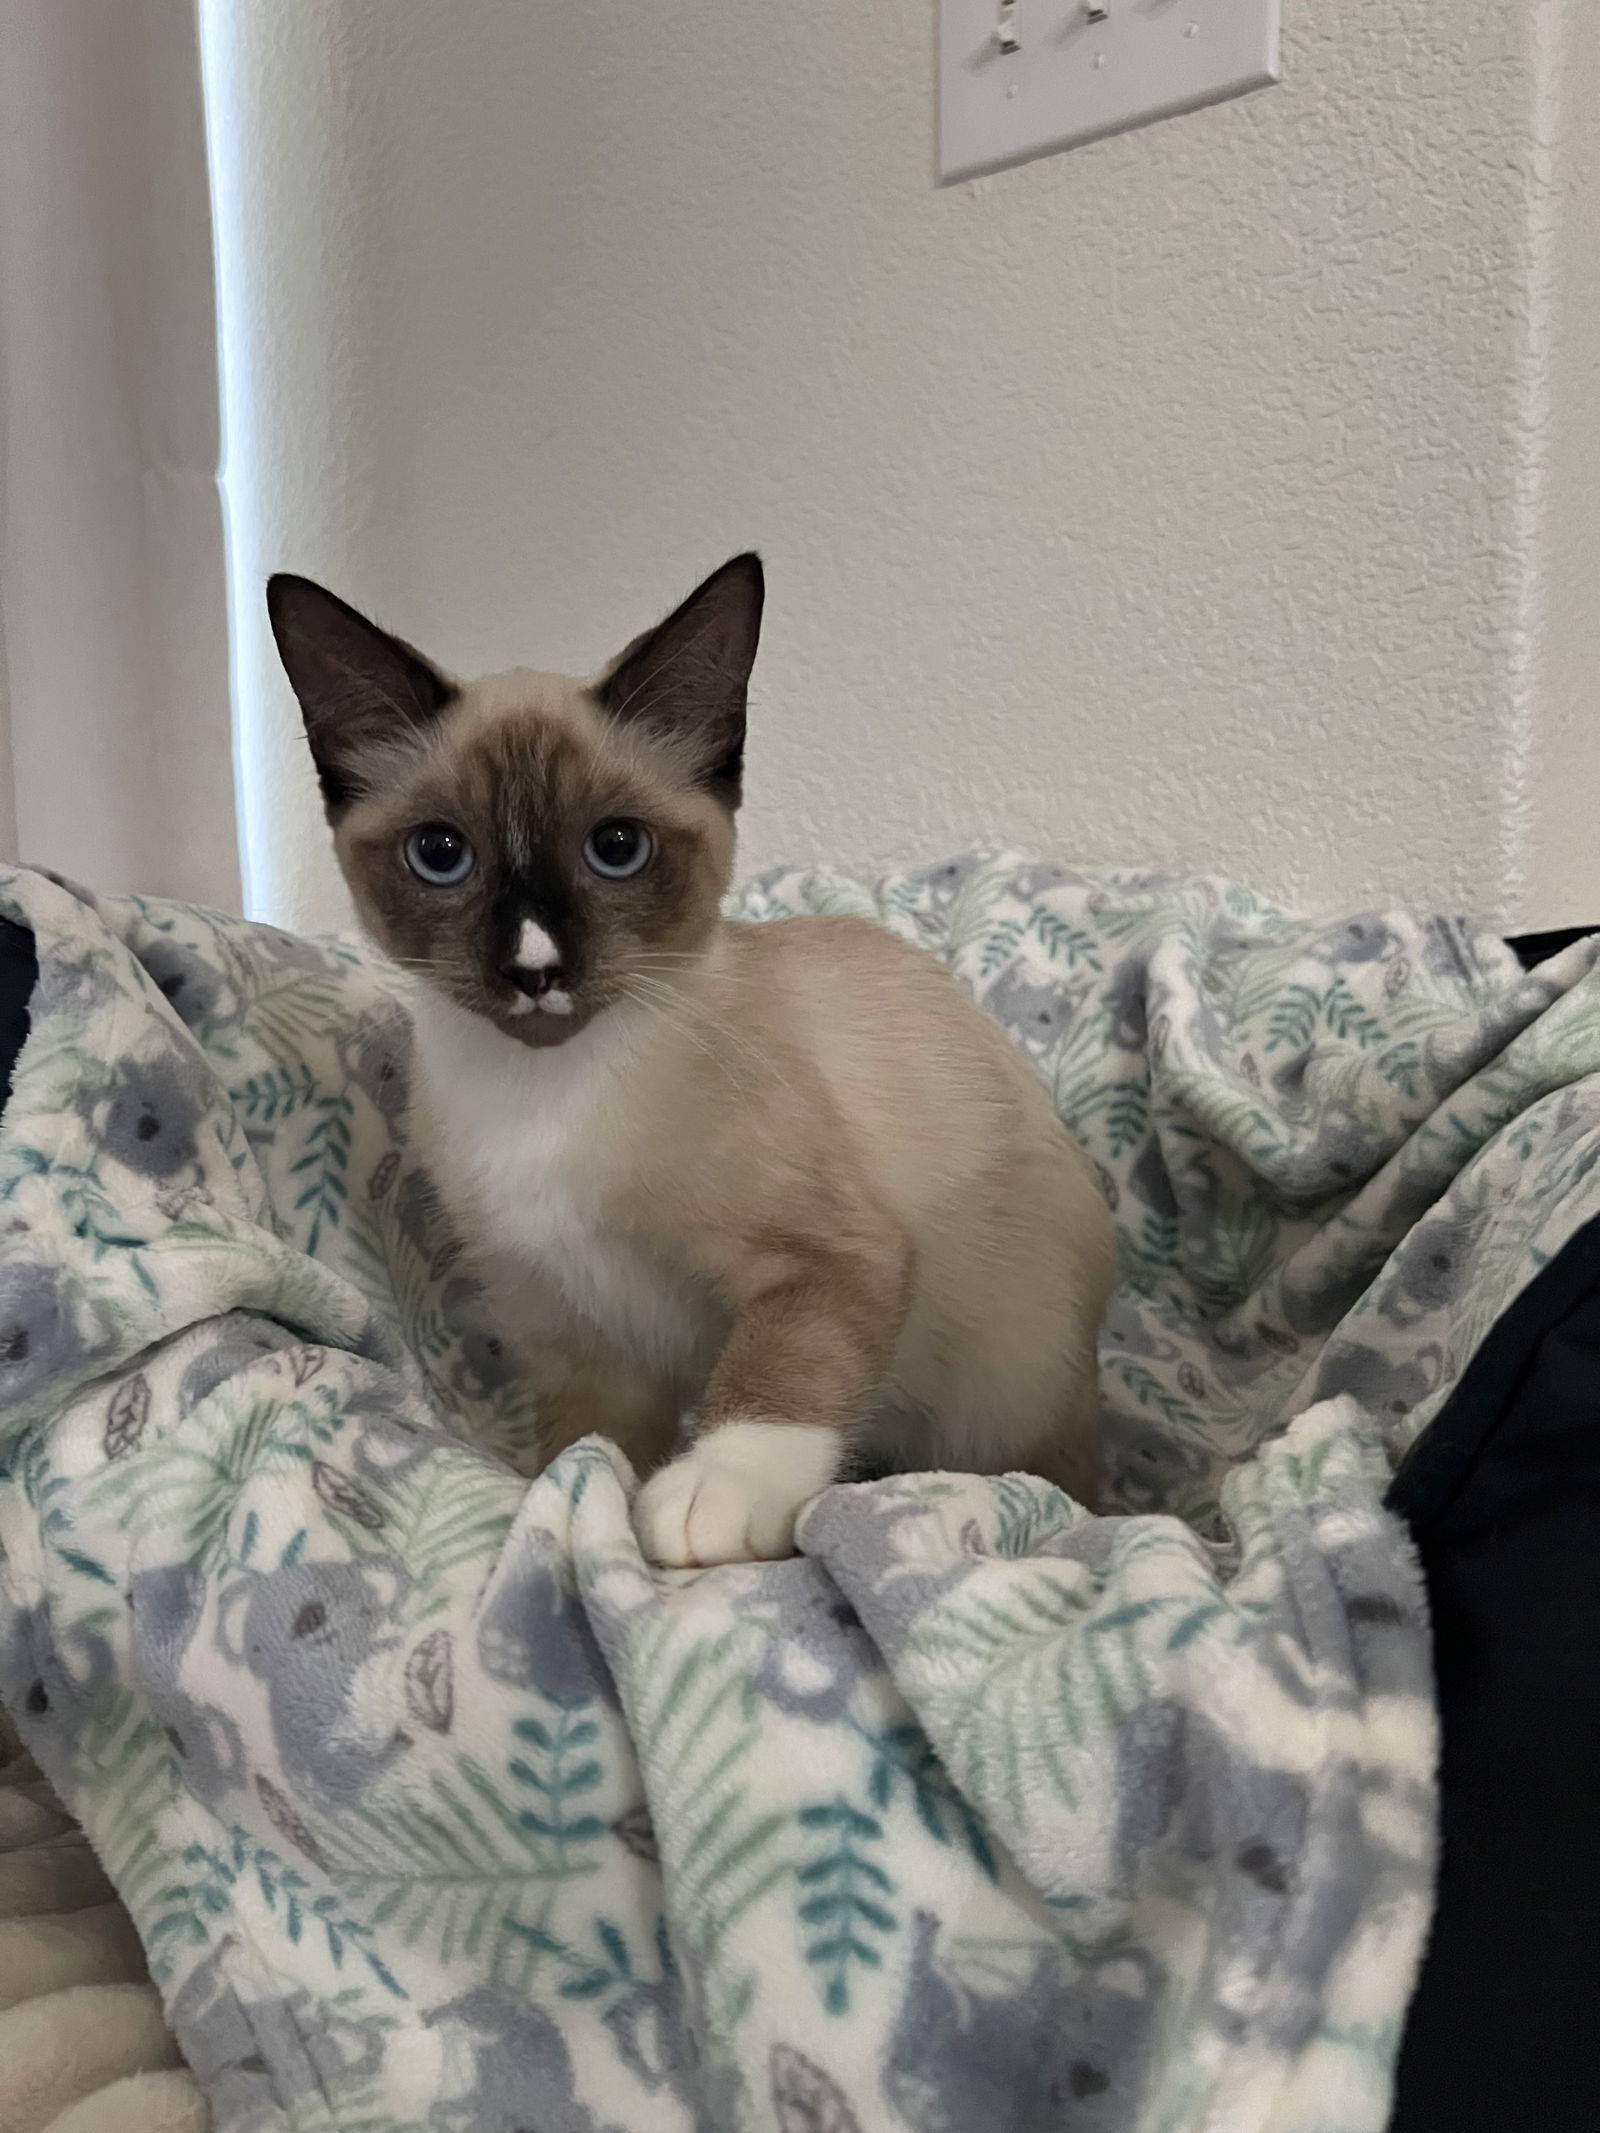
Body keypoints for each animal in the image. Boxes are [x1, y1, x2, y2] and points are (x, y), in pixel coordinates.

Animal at [266, 558, 1117, 1569]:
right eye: (440, 854)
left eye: (616, 848)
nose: (535, 969)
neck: (546, 1097)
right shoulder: (573, 1337)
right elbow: (583, 1457)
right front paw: (567, 1505)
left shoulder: (825, 1260)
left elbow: (776, 1374)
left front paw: (710, 1496)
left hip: (1005, 1406)